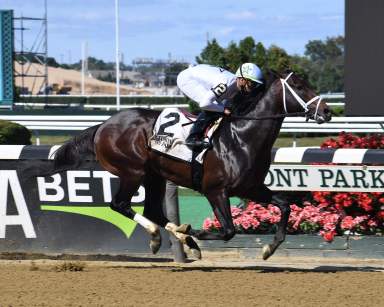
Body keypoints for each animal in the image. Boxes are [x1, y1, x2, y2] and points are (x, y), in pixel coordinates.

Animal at [48, 71, 332, 260]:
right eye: (299, 85)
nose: (327, 112)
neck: (242, 137)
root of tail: (103, 125)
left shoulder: (251, 188)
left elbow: (285, 206)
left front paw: (268, 248)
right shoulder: (215, 190)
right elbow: (228, 230)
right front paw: (192, 232)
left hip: (154, 176)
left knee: (153, 210)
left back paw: (177, 238)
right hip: (132, 171)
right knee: (120, 204)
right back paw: (161, 236)